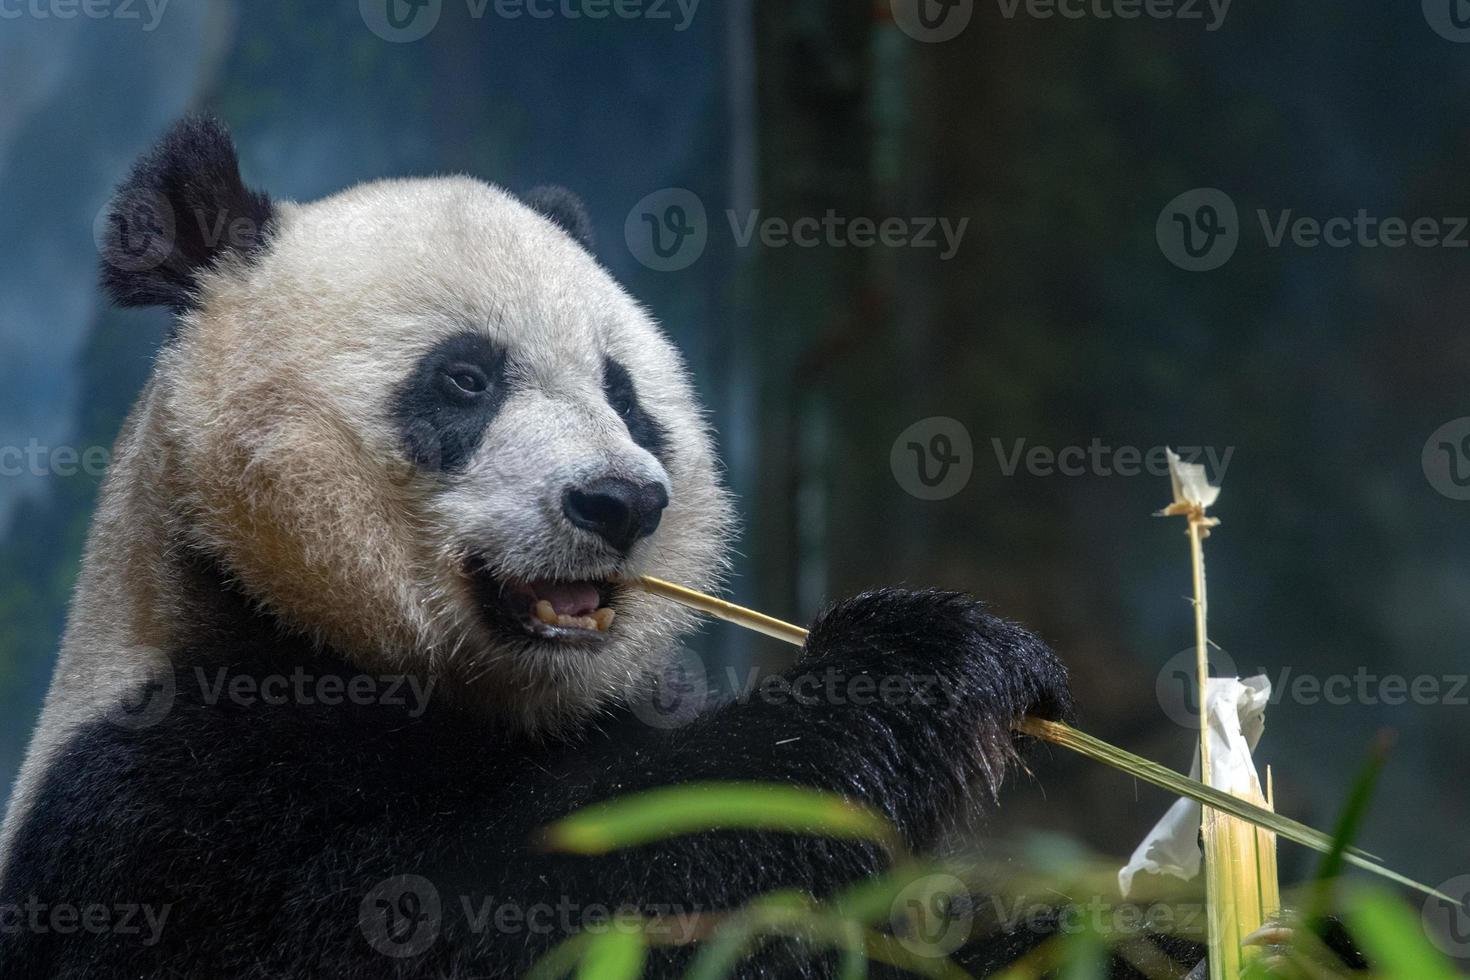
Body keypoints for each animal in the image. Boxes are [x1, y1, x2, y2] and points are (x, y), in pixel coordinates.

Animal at [0, 116, 1223, 980]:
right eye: (465, 378)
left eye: (625, 393)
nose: (621, 501)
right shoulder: (172, 796)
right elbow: (478, 915)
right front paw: (928, 658)